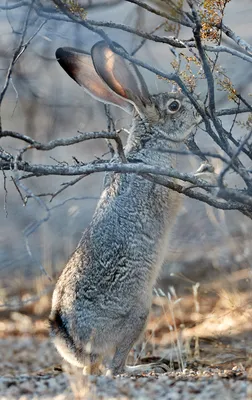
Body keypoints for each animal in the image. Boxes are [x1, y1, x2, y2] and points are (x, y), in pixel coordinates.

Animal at [49, 39, 202, 376]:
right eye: (174, 106)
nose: (198, 110)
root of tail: (72, 341)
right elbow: (185, 189)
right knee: (113, 368)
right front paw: (206, 172)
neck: (147, 145)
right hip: (138, 314)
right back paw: (142, 369)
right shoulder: (164, 187)